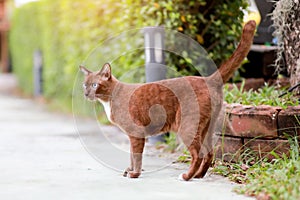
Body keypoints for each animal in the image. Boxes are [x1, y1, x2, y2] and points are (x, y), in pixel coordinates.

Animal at [79, 20, 255, 181]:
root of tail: (208, 79)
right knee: (209, 153)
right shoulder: (132, 135)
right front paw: (129, 170)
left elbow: (136, 156)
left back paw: (186, 176)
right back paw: (198, 176)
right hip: (206, 128)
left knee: (197, 154)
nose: (86, 93)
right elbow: (131, 155)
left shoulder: (136, 133)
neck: (108, 101)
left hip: (187, 127)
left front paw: (134, 174)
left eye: (95, 85)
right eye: (84, 84)